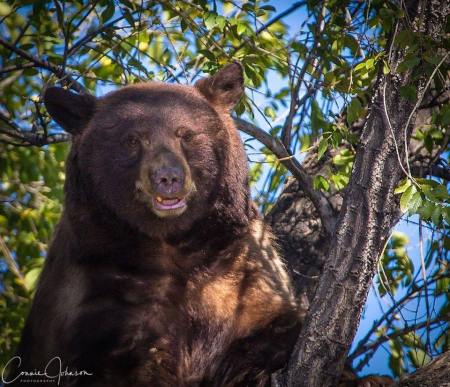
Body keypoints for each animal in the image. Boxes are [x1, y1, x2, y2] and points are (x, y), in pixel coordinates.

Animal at [6, 63, 298, 387]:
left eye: (186, 134)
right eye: (133, 139)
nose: (168, 177)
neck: (169, 245)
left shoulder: (238, 264)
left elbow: (274, 318)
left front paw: (239, 367)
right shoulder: (95, 285)